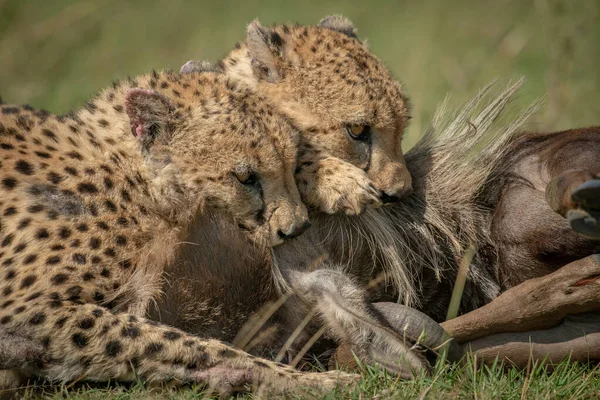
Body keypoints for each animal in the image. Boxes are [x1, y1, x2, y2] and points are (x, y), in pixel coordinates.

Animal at [0, 71, 358, 394]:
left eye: (292, 163)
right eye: (245, 178)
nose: (297, 227)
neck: (134, 179)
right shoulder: (24, 312)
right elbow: (182, 342)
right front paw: (309, 380)